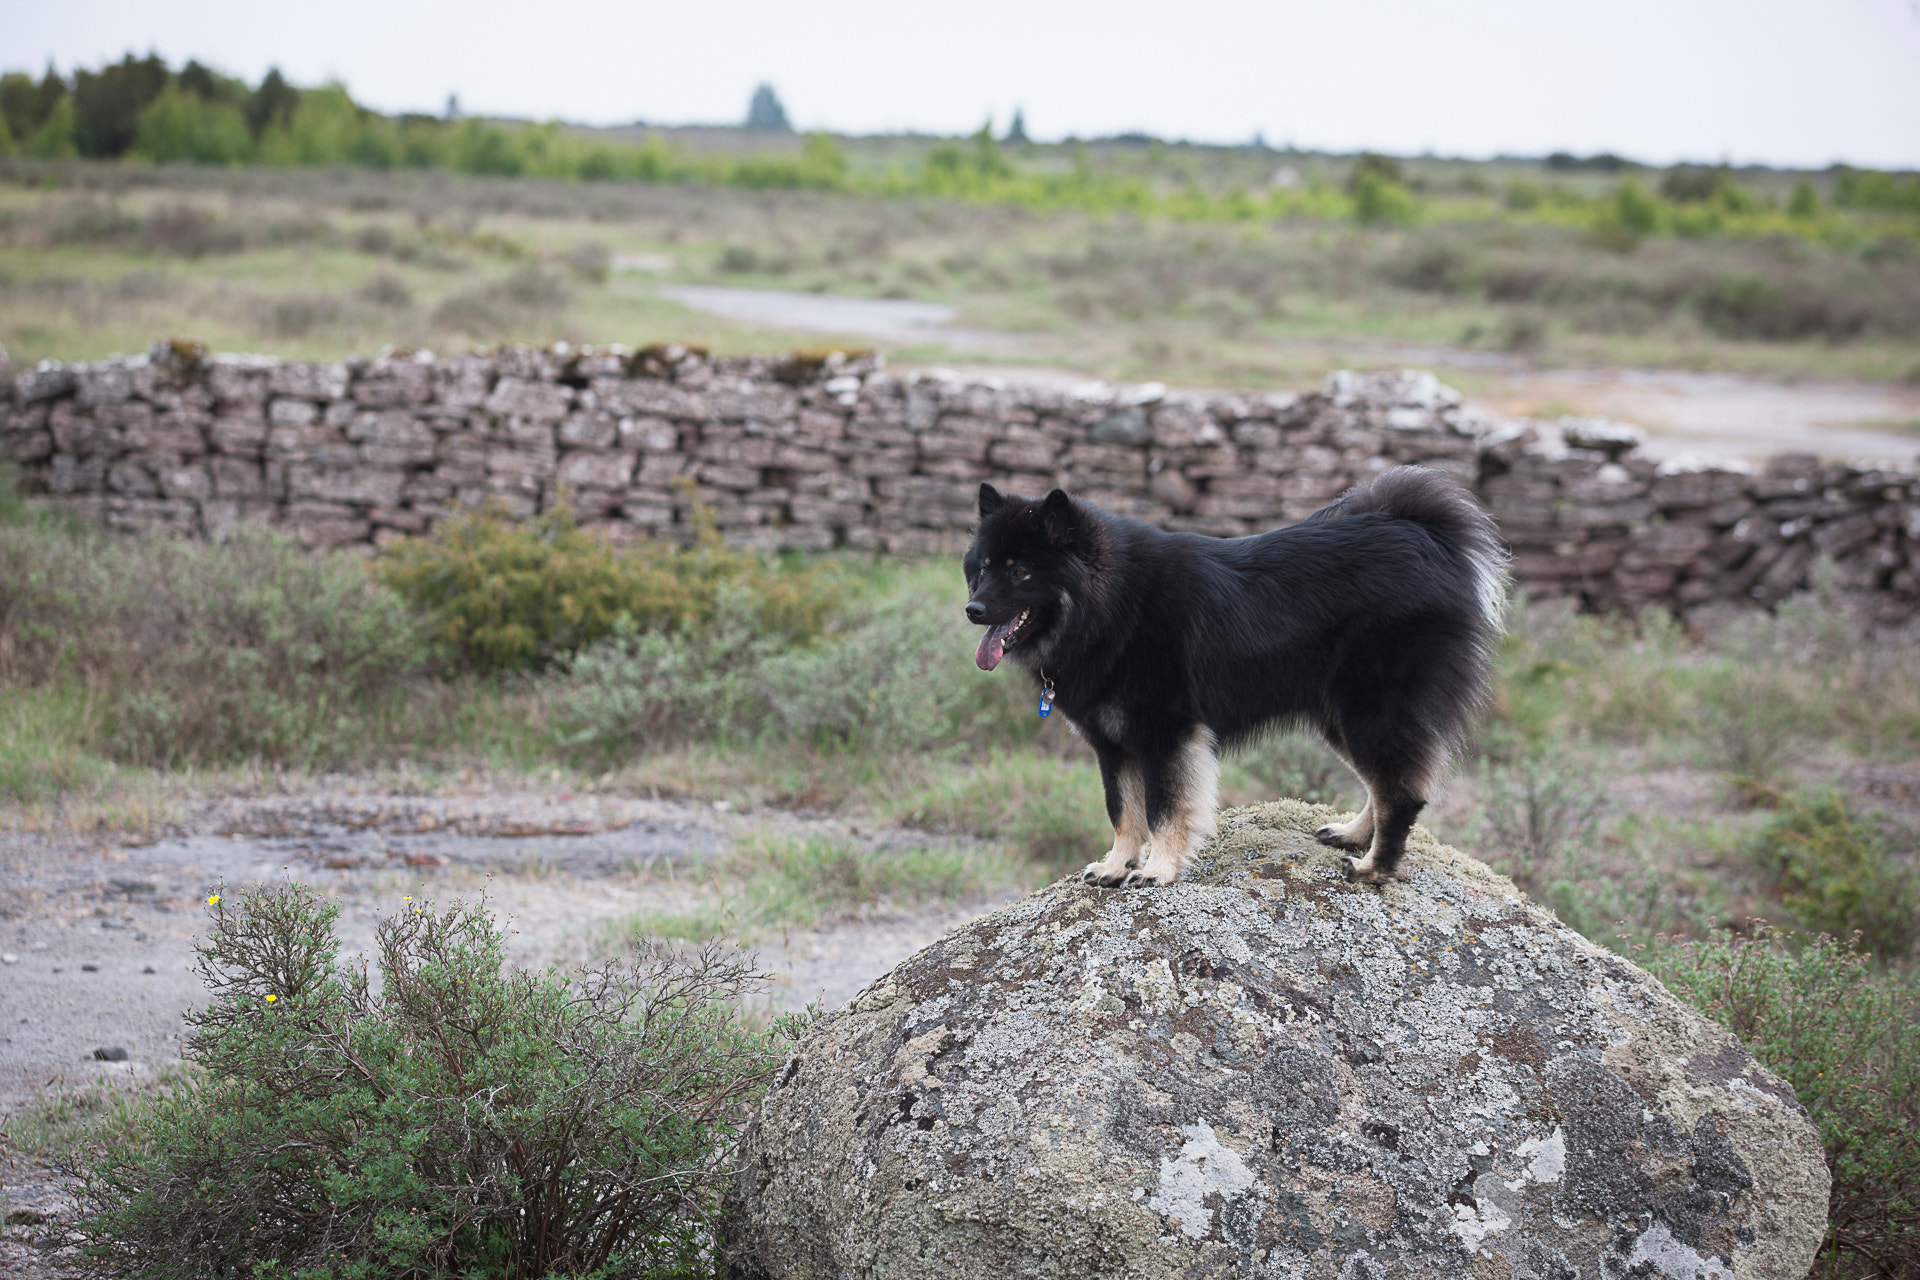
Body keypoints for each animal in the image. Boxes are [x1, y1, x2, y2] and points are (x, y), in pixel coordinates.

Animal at [967, 468, 1505, 890]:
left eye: (1020, 572)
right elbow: (1123, 812)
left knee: (1401, 792)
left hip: (1371, 711)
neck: (1112, 606)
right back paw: (1353, 835)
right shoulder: (1113, 746)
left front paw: (1157, 870)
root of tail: (1422, 534)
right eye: (983, 567)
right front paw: (1116, 866)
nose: (972, 609)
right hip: (1339, 716)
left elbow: (1164, 809)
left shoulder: (1167, 735)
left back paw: (1374, 869)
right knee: (1384, 784)